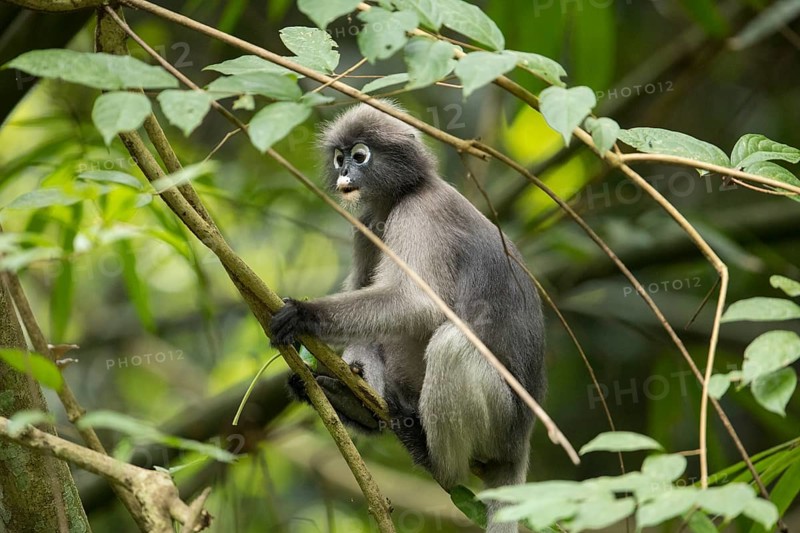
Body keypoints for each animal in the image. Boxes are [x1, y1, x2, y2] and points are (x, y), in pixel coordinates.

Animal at [270, 100, 546, 533]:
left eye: (360, 156)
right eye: (339, 158)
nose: (345, 174)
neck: (405, 193)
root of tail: (521, 442)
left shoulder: (421, 214)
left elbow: (417, 303)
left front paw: (303, 313)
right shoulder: (368, 223)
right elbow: (366, 290)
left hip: (502, 423)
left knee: (451, 344)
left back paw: (433, 458)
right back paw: (356, 406)